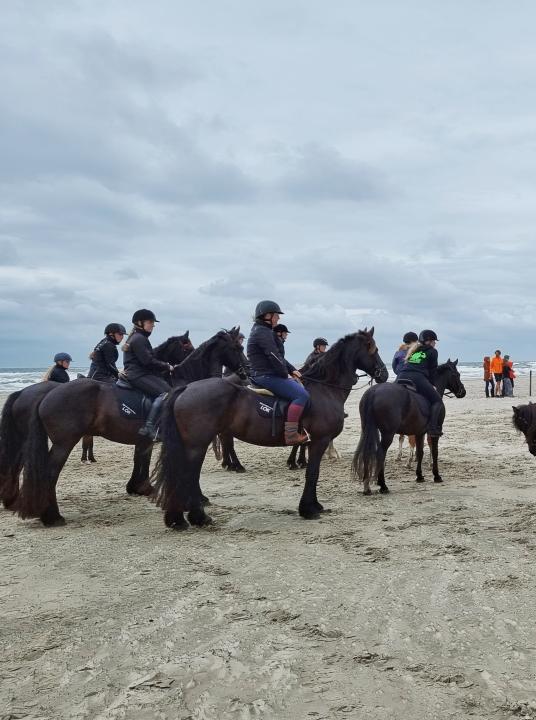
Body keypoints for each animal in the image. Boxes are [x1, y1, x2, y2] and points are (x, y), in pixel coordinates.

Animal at [8, 330, 245, 524]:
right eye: (238, 348)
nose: (246, 371)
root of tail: (47, 394)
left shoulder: (145, 439)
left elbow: (141, 459)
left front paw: (139, 487)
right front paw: (196, 500)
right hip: (63, 443)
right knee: (49, 473)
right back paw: (52, 516)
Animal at [153, 330, 388, 532]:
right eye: (374, 349)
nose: (384, 374)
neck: (324, 389)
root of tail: (186, 388)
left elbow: (313, 472)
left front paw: (314, 505)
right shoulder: (319, 441)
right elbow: (313, 473)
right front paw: (308, 509)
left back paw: (178, 518)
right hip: (196, 446)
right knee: (188, 475)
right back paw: (198, 516)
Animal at [352, 360, 464, 496]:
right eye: (456, 374)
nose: (463, 391)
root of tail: (373, 392)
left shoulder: (419, 433)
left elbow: (420, 453)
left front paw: (419, 476)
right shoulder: (433, 434)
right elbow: (434, 452)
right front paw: (436, 475)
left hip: (367, 429)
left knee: (367, 452)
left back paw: (367, 486)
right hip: (387, 434)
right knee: (380, 454)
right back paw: (383, 485)